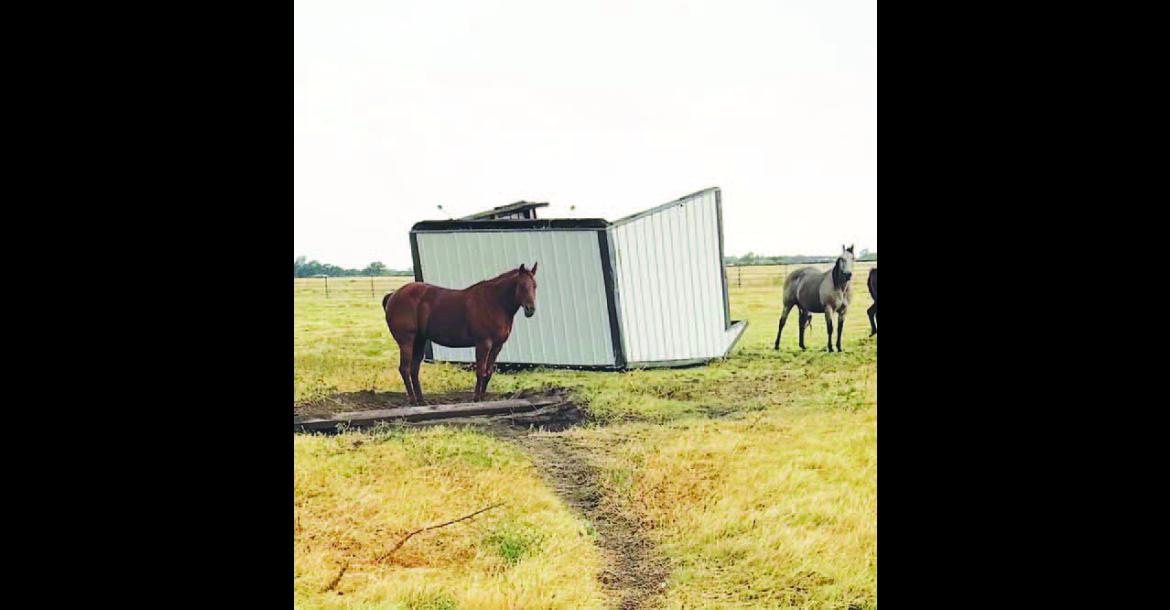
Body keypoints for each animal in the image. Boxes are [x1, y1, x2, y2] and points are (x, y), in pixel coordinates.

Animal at [382, 263, 538, 404]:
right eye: (521, 286)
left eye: (535, 286)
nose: (530, 309)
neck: (494, 302)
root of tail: (393, 295)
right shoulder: (483, 344)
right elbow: (480, 371)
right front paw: (476, 399)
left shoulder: (497, 346)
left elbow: (488, 372)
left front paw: (482, 398)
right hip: (406, 341)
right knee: (404, 369)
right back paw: (413, 400)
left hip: (419, 340)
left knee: (414, 370)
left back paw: (421, 400)